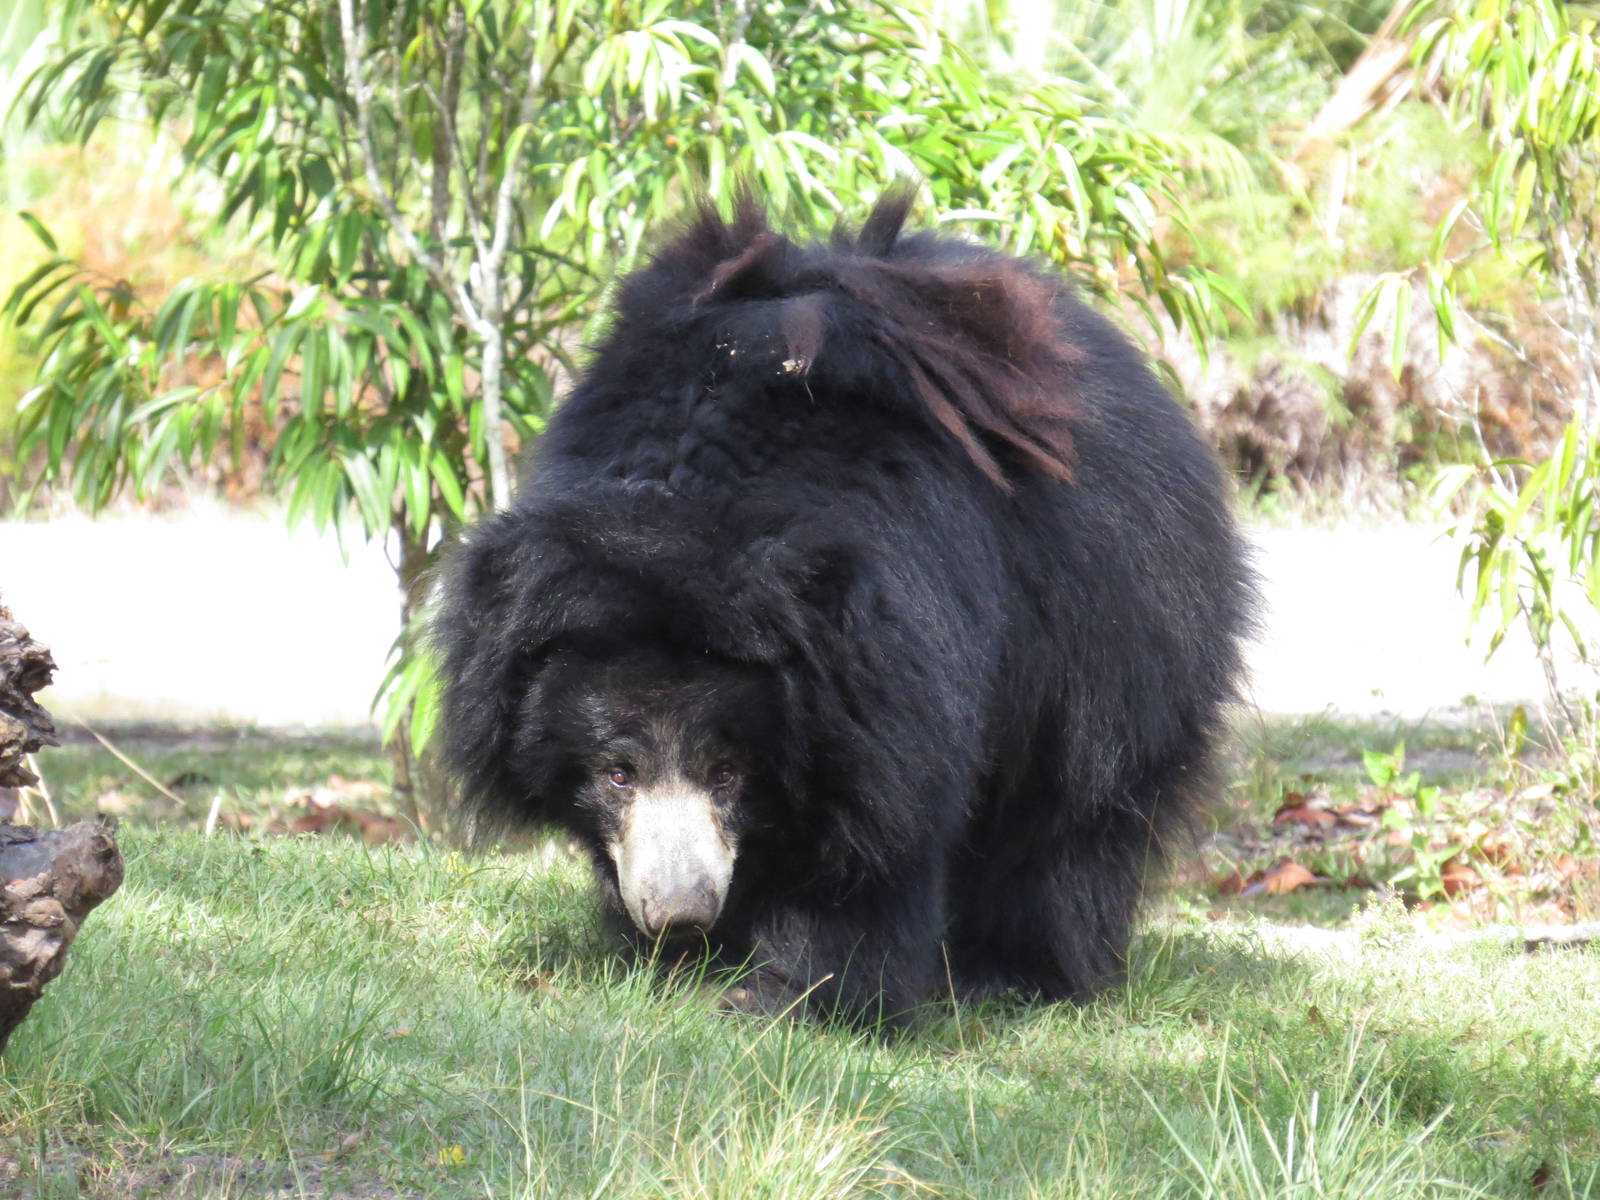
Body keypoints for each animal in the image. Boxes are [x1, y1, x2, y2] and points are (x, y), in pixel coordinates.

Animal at [434, 191, 1254, 1026]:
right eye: (617, 772)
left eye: (728, 770)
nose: (679, 914)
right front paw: (668, 961)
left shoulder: (891, 661)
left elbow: (870, 839)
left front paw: (798, 993)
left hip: (1116, 624)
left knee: (1069, 811)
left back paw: (1016, 971)